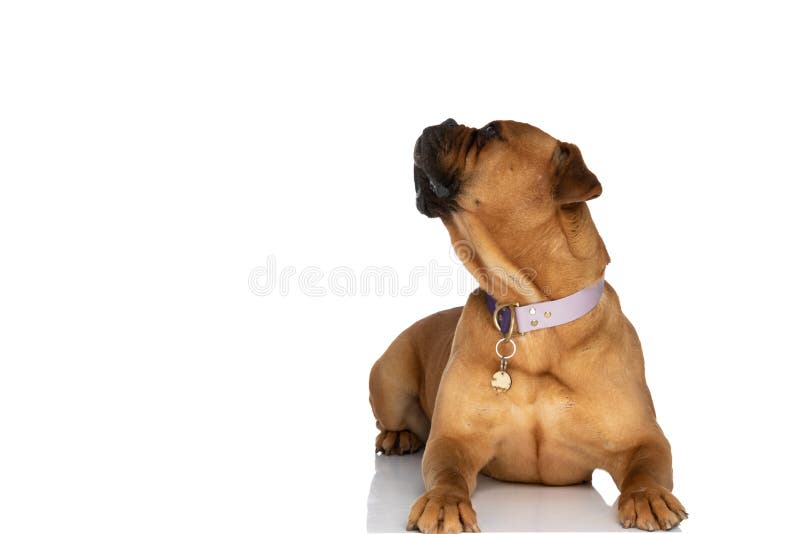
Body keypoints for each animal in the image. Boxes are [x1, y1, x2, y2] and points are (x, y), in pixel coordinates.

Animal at [368, 119, 688, 532]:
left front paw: (647, 496)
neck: (534, 315)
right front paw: (443, 502)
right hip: (388, 378)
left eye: (490, 132)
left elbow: (645, 468)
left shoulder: (643, 438)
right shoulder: (453, 438)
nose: (443, 122)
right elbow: (447, 473)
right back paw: (397, 436)